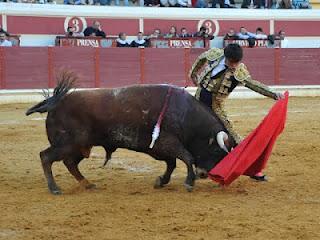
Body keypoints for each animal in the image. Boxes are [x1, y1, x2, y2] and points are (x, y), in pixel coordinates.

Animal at [26, 78, 235, 194]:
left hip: (80, 146)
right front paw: (189, 183)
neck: (185, 114)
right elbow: (187, 157)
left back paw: (88, 184)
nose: (205, 174)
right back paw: (54, 188)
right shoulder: (167, 143)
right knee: (46, 157)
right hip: (67, 143)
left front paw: (161, 181)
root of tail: (55, 102)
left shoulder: (160, 147)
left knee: (70, 163)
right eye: (216, 152)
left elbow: (173, 163)